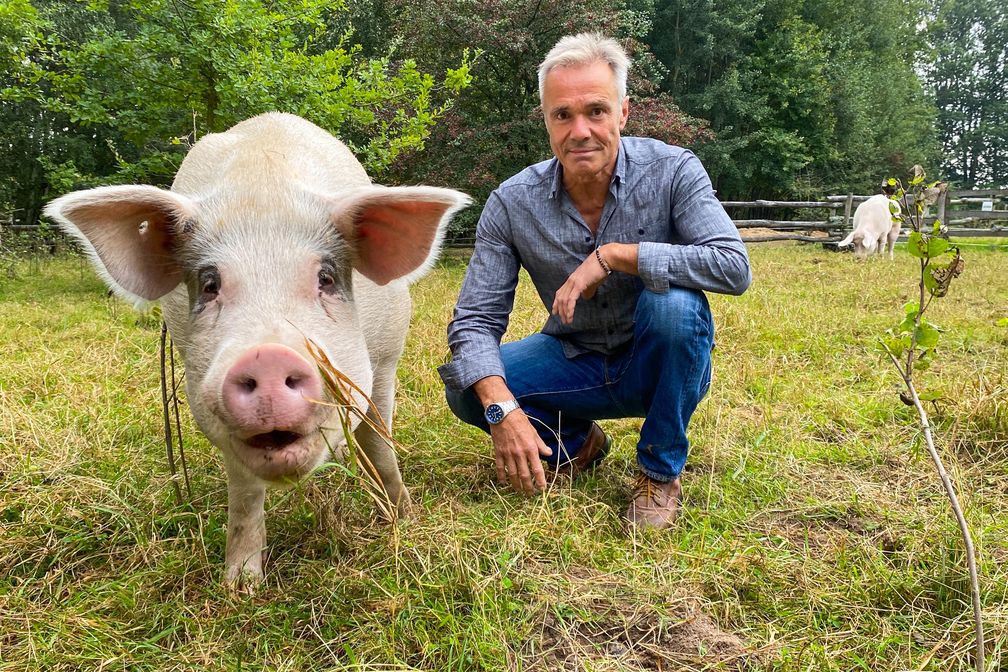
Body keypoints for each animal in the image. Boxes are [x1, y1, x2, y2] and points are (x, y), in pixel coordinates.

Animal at [45, 112, 469, 592]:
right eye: (209, 284)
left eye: (325, 278)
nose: (267, 356)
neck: (264, 185)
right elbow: (245, 493)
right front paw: (240, 587)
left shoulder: (384, 361)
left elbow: (380, 442)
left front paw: (403, 518)